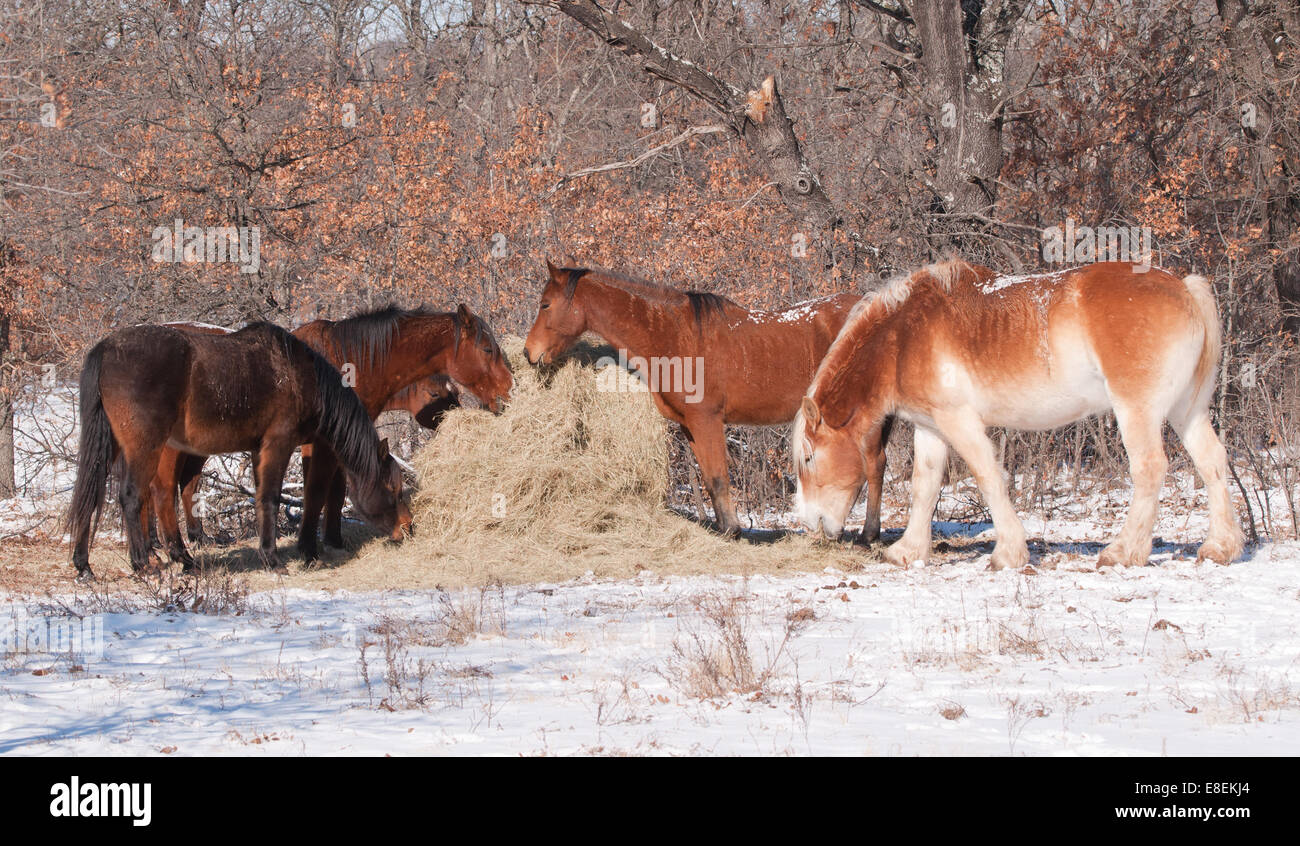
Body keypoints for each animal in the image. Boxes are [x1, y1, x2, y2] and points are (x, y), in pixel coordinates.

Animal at [66, 323, 409, 579]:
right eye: (393, 488)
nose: (407, 528)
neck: (299, 375)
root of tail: (105, 349)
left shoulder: (259, 450)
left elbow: (260, 499)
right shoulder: (277, 444)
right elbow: (270, 498)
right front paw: (273, 559)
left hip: (114, 445)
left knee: (96, 492)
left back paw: (88, 565)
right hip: (145, 447)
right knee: (133, 497)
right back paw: (145, 564)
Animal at [523, 260, 891, 539]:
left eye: (545, 304)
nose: (529, 353)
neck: (674, 337)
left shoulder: (708, 420)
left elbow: (717, 477)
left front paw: (733, 530)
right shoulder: (690, 426)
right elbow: (710, 481)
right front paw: (726, 528)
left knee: (873, 465)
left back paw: (867, 535)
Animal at [793, 259, 1245, 570]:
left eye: (810, 459)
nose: (813, 524)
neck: (904, 337)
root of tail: (1184, 288)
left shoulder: (960, 421)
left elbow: (989, 479)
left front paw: (1009, 553)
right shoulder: (931, 427)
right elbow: (925, 487)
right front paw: (908, 551)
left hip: (1137, 410)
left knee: (1150, 469)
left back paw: (1124, 551)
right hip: (1186, 410)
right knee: (1213, 462)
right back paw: (1220, 547)